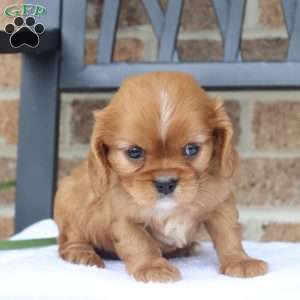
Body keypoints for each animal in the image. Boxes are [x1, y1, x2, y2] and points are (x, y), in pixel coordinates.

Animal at [54, 71, 268, 282]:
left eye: (191, 149)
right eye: (134, 152)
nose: (165, 183)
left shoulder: (220, 202)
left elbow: (228, 233)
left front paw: (239, 261)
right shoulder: (124, 216)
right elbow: (140, 242)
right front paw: (153, 268)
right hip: (69, 205)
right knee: (70, 239)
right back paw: (82, 255)